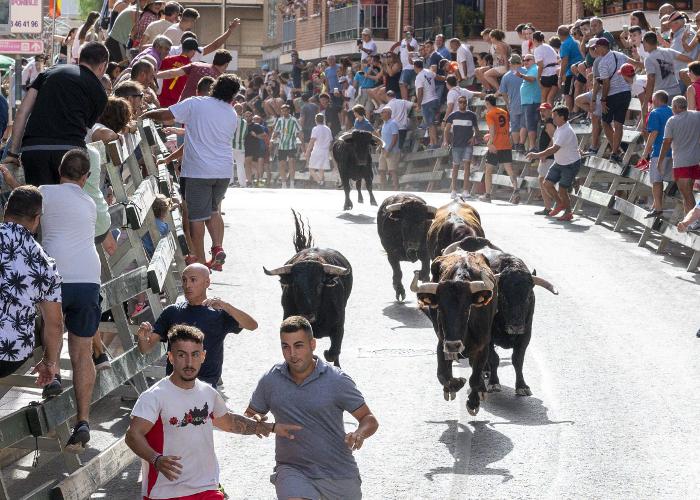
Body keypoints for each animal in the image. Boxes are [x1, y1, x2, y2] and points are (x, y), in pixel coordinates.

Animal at [442, 236, 556, 396]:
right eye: (502, 296)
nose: (516, 327)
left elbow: (518, 360)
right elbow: (494, 359)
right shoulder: (487, 336)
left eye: (528, 296)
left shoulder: (525, 335)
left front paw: (522, 386)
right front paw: (494, 383)